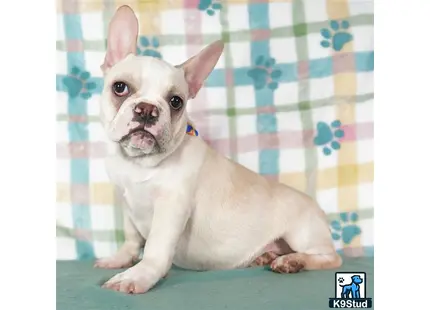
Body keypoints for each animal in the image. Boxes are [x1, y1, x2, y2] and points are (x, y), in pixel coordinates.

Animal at [95, 6, 342, 294]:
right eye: (120, 87)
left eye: (176, 102)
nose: (147, 109)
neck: (138, 163)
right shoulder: (127, 204)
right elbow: (132, 238)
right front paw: (121, 259)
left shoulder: (172, 207)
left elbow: (156, 247)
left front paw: (138, 275)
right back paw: (266, 256)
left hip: (302, 232)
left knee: (330, 258)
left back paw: (292, 261)